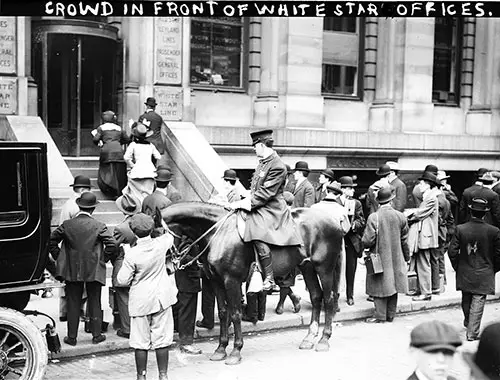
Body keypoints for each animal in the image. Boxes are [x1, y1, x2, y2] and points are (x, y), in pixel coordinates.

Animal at [162, 202, 342, 366]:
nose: (167, 268)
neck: (218, 232)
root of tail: (334, 220)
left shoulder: (231, 281)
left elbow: (235, 314)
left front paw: (236, 351)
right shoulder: (216, 282)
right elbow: (223, 313)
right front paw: (220, 349)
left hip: (324, 268)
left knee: (329, 298)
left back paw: (324, 339)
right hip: (307, 267)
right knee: (316, 296)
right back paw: (309, 338)